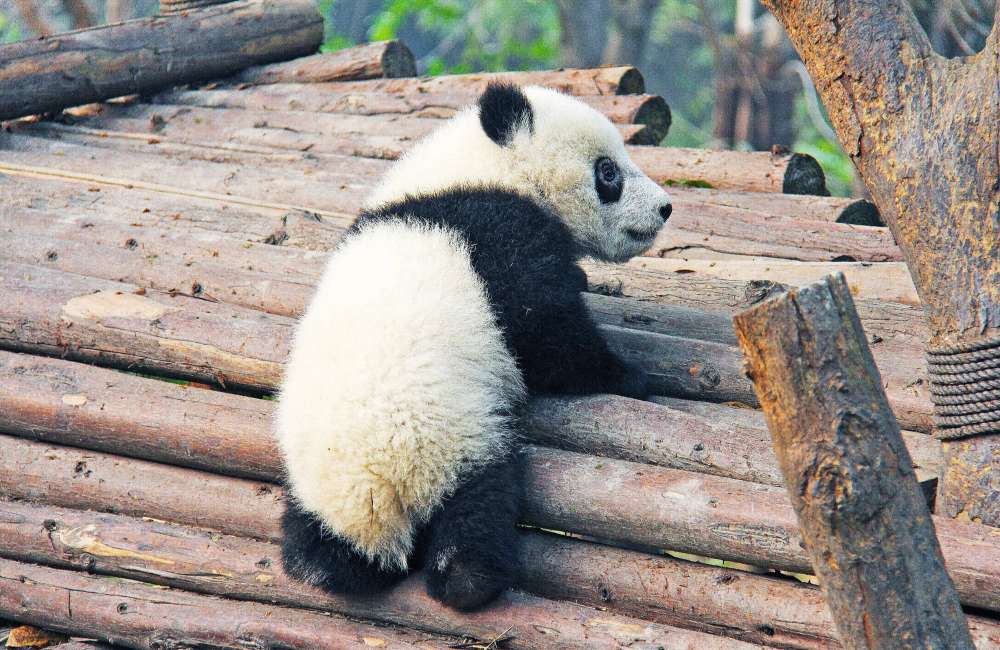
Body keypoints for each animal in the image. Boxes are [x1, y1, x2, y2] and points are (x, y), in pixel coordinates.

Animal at [276, 83, 672, 611]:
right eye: (608, 172)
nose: (665, 208)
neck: (480, 169)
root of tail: (372, 493)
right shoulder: (499, 235)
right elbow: (547, 334)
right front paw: (628, 375)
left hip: (313, 485)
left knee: (316, 547)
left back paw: (323, 564)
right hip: (454, 438)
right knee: (478, 506)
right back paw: (470, 579)